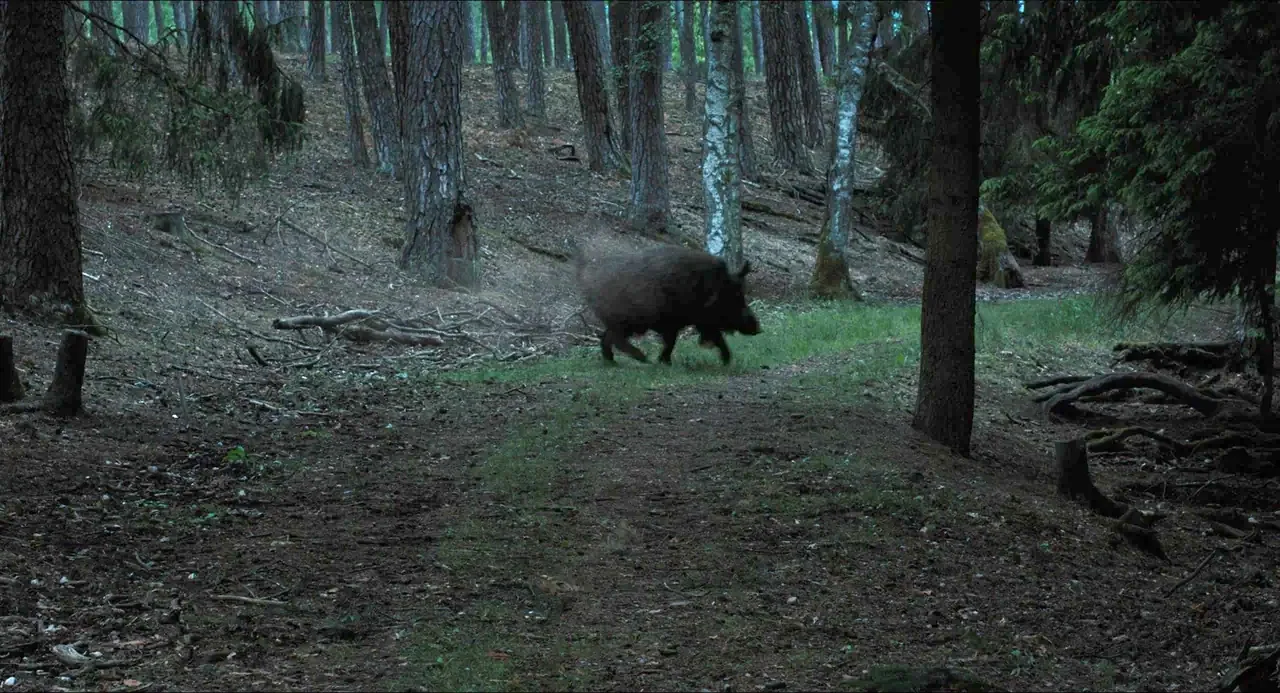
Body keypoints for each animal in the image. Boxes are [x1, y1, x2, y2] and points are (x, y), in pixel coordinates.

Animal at [575, 244, 762, 365]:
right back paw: (643, 359)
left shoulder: (692, 322)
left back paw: (613, 362)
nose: (758, 328)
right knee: (614, 338)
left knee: (606, 338)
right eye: (735, 296)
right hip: (626, 321)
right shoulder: (682, 321)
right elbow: (674, 341)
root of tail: (586, 285)